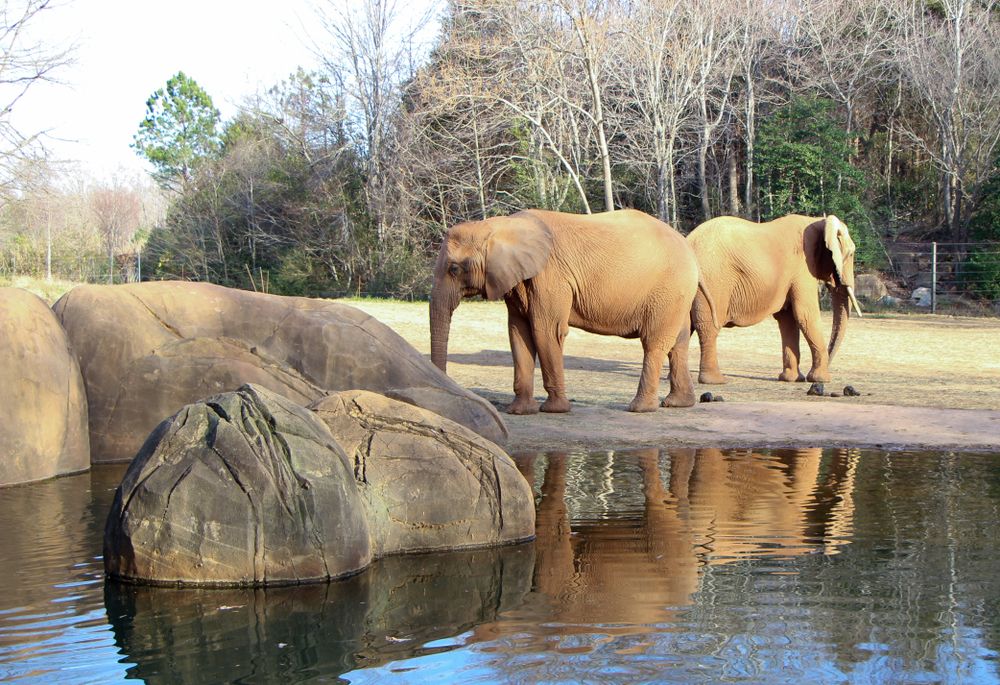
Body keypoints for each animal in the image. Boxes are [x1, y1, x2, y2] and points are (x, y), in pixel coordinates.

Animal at [429, 209, 709, 414]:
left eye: (454, 269)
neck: (500, 225)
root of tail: (688, 248)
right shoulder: (519, 281)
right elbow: (518, 334)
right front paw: (520, 412)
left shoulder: (551, 277)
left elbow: (546, 331)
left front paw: (554, 410)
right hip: (676, 293)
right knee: (678, 343)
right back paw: (677, 404)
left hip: (668, 289)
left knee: (653, 342)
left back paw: (639, 409)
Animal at [688, 213, 863, 385]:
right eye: (851, 254)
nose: (830, 360)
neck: (818, 220)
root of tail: (690, 239)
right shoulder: (802, 268)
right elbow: (805, 315)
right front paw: (821, 379)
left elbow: (788, 318)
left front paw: (792, 379)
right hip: (713, 280)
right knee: (708, 327)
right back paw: (715, 381)